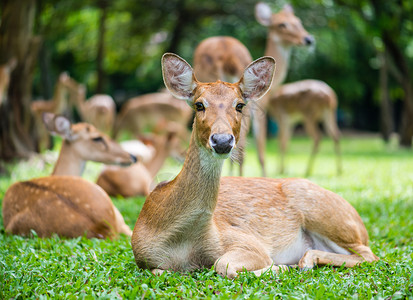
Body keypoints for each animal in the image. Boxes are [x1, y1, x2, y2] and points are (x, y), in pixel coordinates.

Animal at [130, 53, 378, 278]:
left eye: (239, 105)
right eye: (199, 105)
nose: (222, 140)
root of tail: (359, 222)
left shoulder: (245, 240)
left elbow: (223, 265)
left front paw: (279, 267)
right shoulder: (145, 259)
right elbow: (159, 271)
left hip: (325, 213)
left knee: (370, 255)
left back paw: (303, 262)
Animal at [254, 1, 342, 176]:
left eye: (298, 21)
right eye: (282, 24)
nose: (308, 39)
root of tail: (331, 96)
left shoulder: (283, 117)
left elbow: (281, 142)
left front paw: (281, 170)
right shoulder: (285, 118)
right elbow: (282, 142)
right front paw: (281, 170)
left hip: (314, 114)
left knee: (321, 137)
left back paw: (311, 170)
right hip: (325, 114)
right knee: (334, 135)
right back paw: (335, 170)